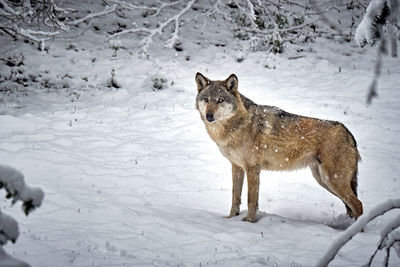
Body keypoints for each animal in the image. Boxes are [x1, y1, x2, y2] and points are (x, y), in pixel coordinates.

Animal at [195, 72, 364, 223]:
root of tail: (349, 133)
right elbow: (235, 198)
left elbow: (251, 200)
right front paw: (230, 219)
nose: (209, 116)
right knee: (353, 206)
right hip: (323, 180)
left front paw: (248, 223)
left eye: (220, 100)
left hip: (333, 180)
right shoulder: (236, 166)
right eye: (206, 99)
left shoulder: (252, 168)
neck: (235, 127)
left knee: (359, 205)